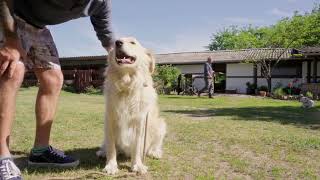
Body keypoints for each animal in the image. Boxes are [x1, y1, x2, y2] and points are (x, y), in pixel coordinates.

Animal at [97, 37, 168, 174]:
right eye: (116, 41)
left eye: (132, 42)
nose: (118, 43)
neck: (126, 85)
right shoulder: (110, 119)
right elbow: (111, 147)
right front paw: (111, 165)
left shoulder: (139, 122)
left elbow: (137, 146)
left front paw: (137, 165)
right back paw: (102, 151)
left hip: (160, 125)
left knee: (155, 144)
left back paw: (155, 152)